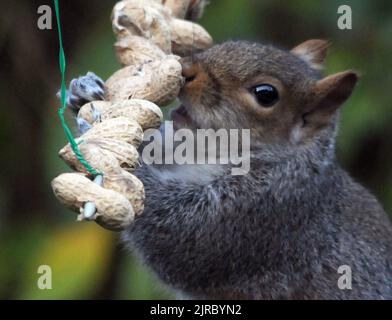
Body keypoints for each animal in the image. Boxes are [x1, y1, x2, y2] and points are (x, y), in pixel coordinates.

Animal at [64, 40, 392, 300]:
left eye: (266, 94)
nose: (185, 70)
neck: (209, 153)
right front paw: (86, 93)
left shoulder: (261, 209)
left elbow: (172, 232)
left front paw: (106, 151)